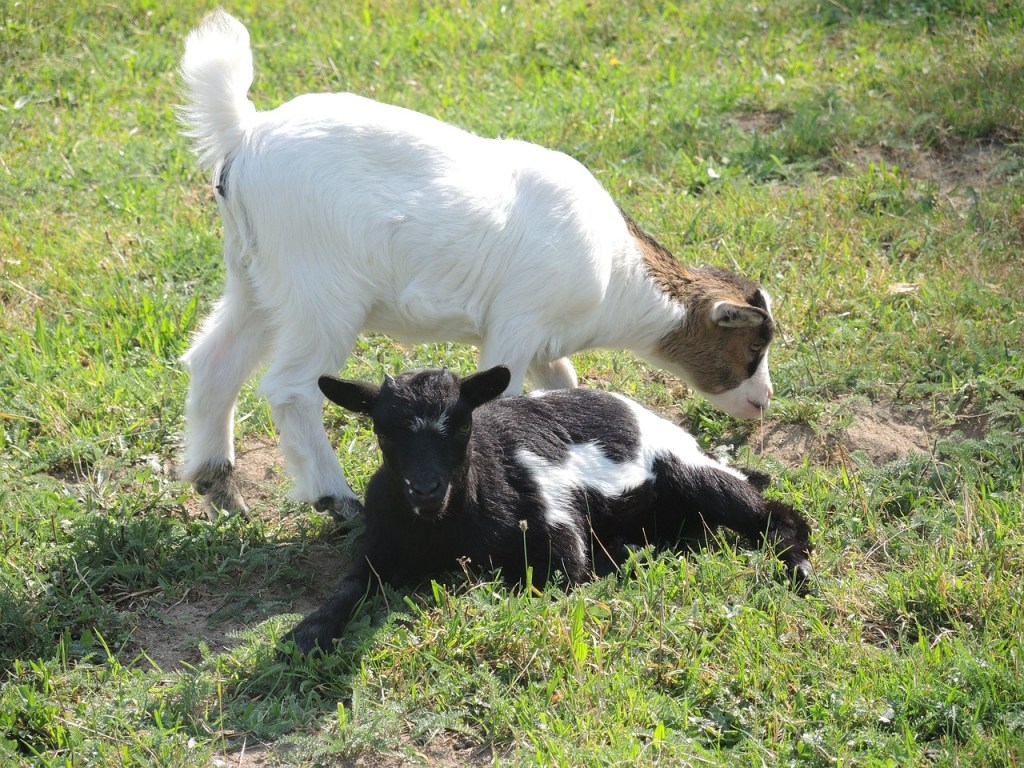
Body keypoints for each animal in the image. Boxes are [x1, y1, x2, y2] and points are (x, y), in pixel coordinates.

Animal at [177, 10, 777, 520]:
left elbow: (562, 386)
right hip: (322, 292)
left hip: (254, 278)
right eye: (752, 347)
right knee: (290, 387)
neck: (615, 277)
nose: (761, 402)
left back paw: (217, 485)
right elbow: (502, 399)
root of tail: (244, 134)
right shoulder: (516, 323)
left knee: (214, 361)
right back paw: (335, 497)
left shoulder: (545, 346)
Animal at [284, 366, 812, 655]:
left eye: (461, 423)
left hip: (687, 470)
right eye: (382, 429)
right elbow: (350, 584)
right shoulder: (379, 545)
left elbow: (549, 578)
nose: (426, 488)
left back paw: (798, 566)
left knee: (773, 513)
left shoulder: (556, 528)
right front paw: (308, 633)